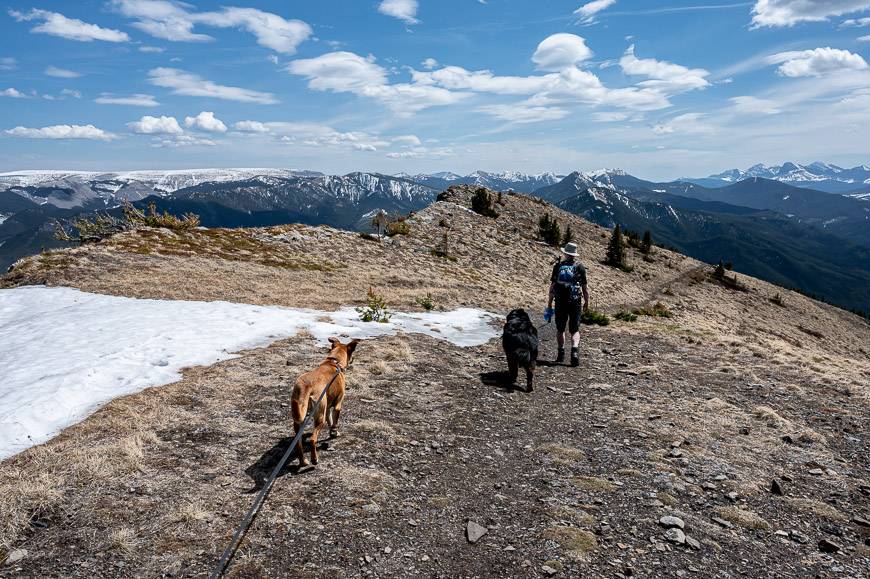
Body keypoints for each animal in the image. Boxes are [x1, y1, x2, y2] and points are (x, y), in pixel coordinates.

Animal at [292, 336, 360, 466]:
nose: (354, 359)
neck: (334, 362)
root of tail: (305, 386)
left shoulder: (328, 408)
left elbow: (330, 420)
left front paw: (332, 432)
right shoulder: (338, 404)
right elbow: (335, 422)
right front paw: (335, 433)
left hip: (299, 419)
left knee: (298, 442)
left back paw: (303, 461)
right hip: (319, 416)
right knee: (313, 439)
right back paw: (314, 459)